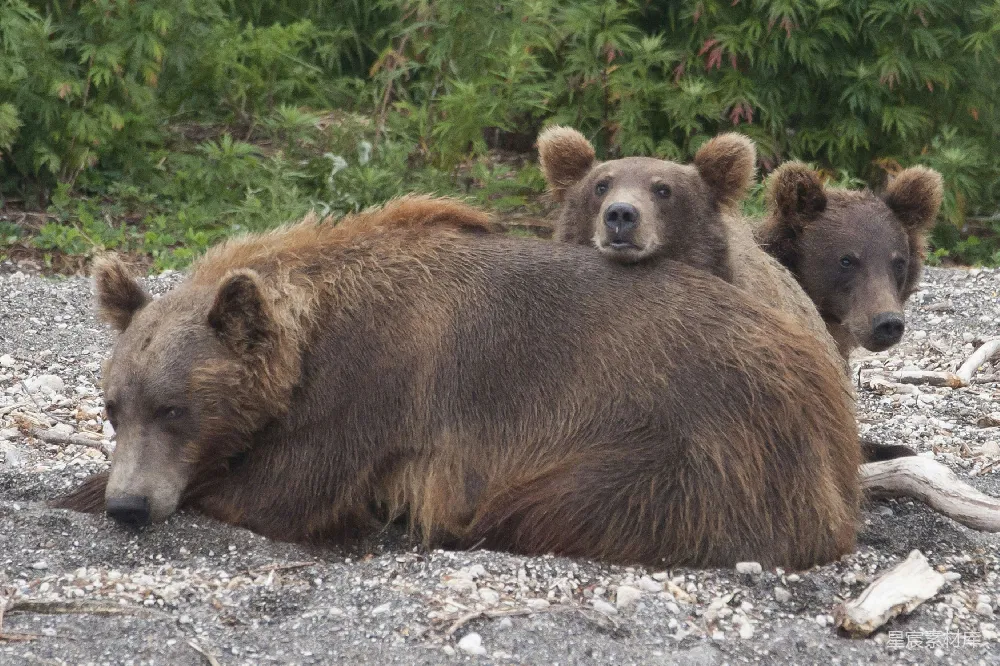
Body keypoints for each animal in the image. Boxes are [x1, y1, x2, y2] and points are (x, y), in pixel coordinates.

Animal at [54, 195, 860, 569]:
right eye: (113, 405)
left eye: (174, 408)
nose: (130, 503)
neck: (310, 338)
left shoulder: (373, 384)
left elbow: (288, 488)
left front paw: (90, 491)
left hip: (687, 433)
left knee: (554, 502)